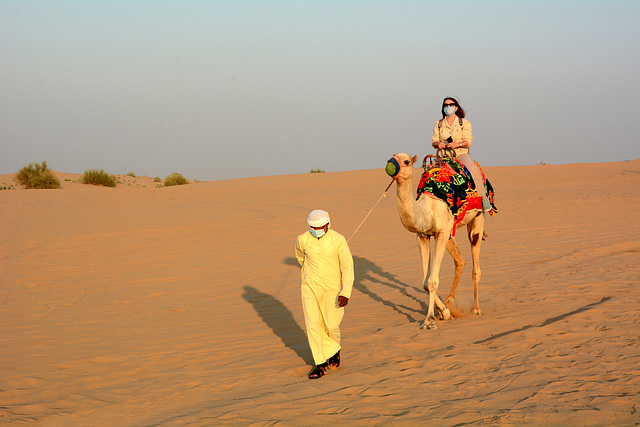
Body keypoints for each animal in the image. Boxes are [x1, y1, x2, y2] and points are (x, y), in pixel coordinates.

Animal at [384, 154, 484, 332]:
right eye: (391, 157)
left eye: (406, 161)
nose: (390, 165)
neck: (428, 208)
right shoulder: (423, 235)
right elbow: (425, 282)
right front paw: (443, 312)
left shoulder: (442, 233)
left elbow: (432, 281)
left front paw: (429, 320)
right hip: (452, 231)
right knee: (460, 261)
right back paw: (450, 302)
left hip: (478, 218)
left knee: (475, 265)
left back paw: (476, 309)